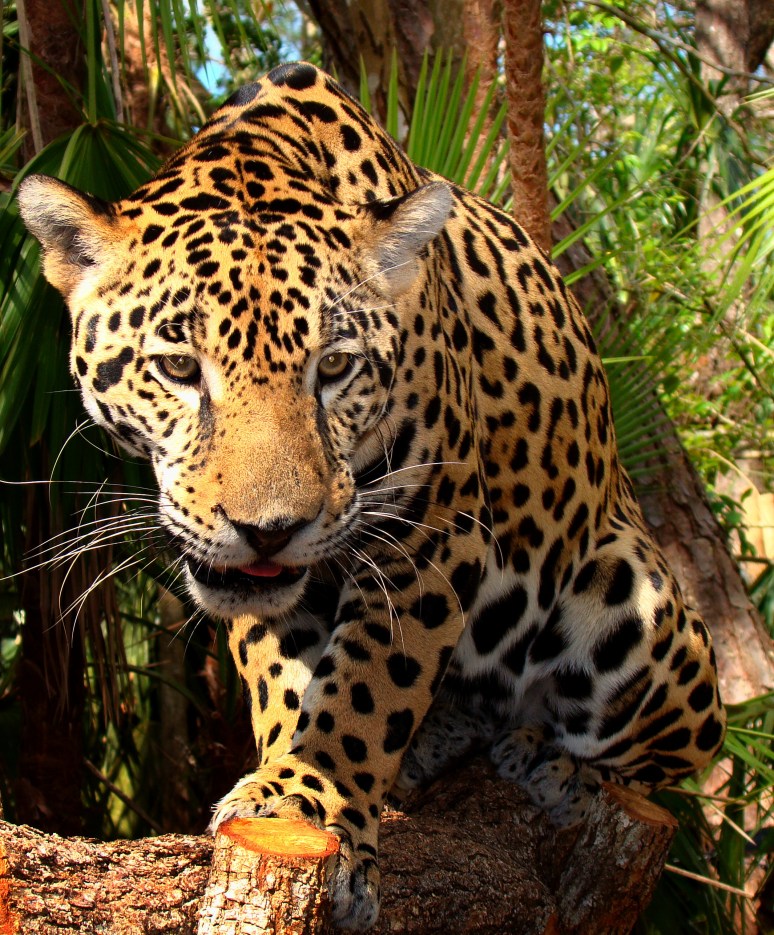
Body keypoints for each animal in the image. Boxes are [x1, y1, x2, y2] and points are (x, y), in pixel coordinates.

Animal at [19, 61, 725, 931]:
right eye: (179, 367)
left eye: (336, 368)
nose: (268, 530)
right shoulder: (273, 591)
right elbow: (288, 681)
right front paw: (289, 786)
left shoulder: (432, 532)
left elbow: (370, 686)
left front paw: (313, 795)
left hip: (635, 602)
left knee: (675, 747)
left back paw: (551, 761)